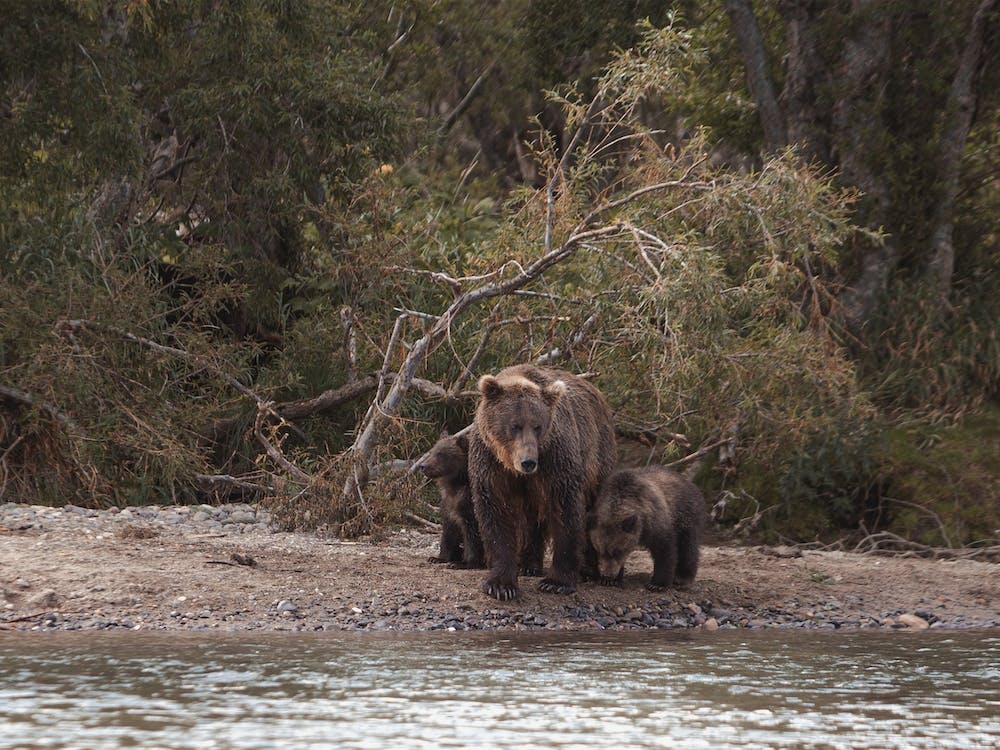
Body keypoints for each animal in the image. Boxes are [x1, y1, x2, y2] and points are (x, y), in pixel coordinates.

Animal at [416, 430, 484, 569]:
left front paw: (464, 563)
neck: (455, 484)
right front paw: (437, 558)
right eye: (432, 451)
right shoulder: (448, 504)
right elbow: (449, 532)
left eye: (441, 454)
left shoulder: (469, 505)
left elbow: (472, 534)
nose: (423, 466)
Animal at [469, 364, 617, 600]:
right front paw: (501, 585)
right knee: (531, 520)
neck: (510, 463)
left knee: (600, 507)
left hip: (598, 454)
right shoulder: (489, 462)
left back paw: (592, 572)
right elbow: (496, 513)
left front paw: (556, 582)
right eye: (515, 425)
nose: (528, 462)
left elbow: (565, 510)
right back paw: (528, 564)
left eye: (537, 426)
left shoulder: (555, 457)